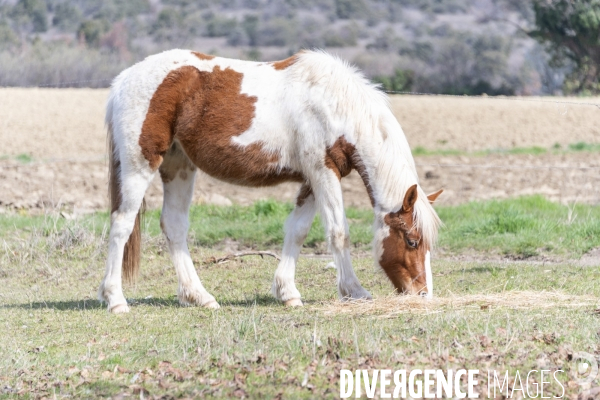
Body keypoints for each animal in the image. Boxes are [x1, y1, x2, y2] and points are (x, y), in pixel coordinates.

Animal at [98, 49, 442, 312]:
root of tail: (123, 80)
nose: (423, 294)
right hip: (139, 165)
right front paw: (354, 291)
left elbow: (297, 231)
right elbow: (338, 233)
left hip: (179, 166)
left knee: (174, 226)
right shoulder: (323, 172)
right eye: (412, 241)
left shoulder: (312, 179)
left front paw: (287, 292)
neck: (334, 105)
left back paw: (199, 296)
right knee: (122, 224)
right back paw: (116, 300)